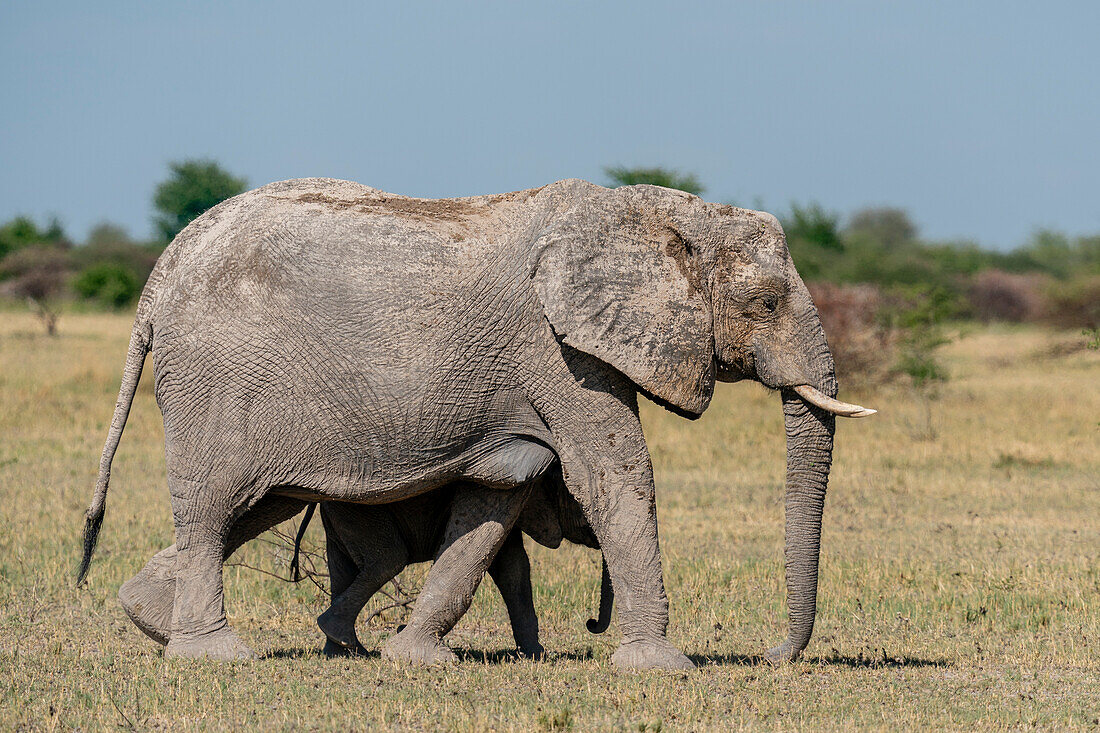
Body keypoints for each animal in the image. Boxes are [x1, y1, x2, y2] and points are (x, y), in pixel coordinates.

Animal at [77, 178, 875, 669]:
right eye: (765, 303)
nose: (772, 655)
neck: (646, 213)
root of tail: (160, 274)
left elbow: (498, 495)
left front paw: (416, 658)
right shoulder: (556, 347)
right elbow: (614, 474)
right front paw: (661, 667)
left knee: (253, 505)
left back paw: (152, 618)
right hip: (217, 380)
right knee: (216, 506)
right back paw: (213, 654)